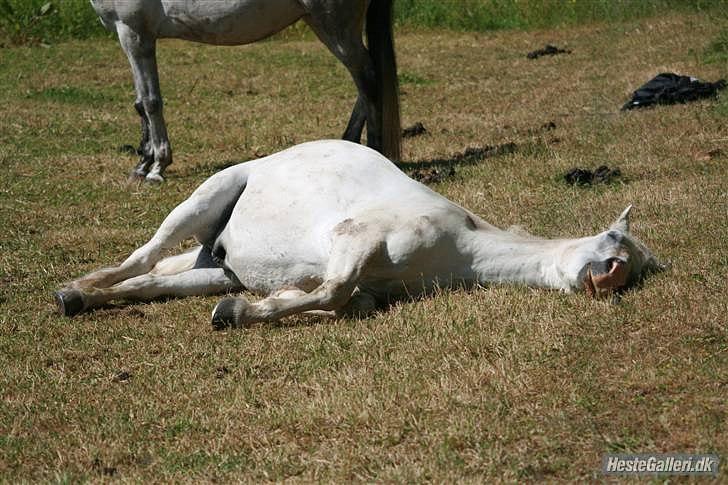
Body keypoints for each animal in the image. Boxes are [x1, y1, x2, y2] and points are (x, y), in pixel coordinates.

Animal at [55, 140, 664, 327]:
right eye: (614, 242)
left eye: (635, 268)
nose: (611, 278)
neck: (463, 247)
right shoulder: (355, 240)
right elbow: (333, 289)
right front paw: (242, 314)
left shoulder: (370, 285)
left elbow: (349, 301)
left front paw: (257, 305)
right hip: (205, 199)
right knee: (142, 258)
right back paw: (77, 289)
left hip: (214, 269)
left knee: (151, 281)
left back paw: (82, 298)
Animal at [90, 0, 401, 182]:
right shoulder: (136, 37)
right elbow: (140, 103)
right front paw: (143, 163)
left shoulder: (133, 33)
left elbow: (151, 102)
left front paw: (157, 167)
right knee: (365, 82)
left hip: (335, 25)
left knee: (368, 78)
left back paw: (375, 150)